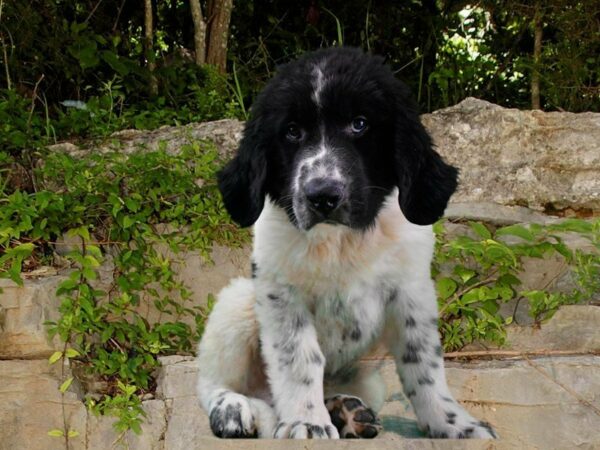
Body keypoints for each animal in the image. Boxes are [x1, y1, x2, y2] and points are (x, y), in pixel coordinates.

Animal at [197, 46, 496, 440]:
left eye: (360, 124)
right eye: (291, 132)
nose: (322, 196)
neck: (340, 241)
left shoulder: (412, 291)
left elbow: (424, 365)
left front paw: (454, 425)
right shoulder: (282, 294)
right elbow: (300, 360)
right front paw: (306, 422)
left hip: (368, 380)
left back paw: (344, 411)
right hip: (238, 303)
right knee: (216, 384)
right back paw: (236, 409)